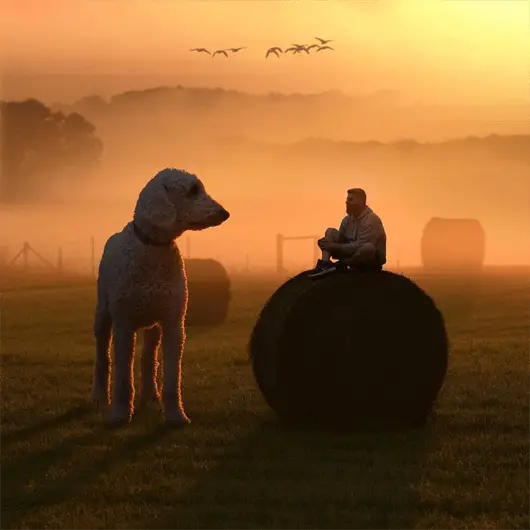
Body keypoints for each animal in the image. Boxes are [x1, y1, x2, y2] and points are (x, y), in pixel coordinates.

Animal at [89, 169, 229, 424]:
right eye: (193, 190)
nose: (225, 213)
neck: (154, 248)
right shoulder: (124, 325)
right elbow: (123, 377)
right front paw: (120, 414)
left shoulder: (174, 323)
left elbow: (172, 377)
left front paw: (176, 415)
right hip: (103, 314)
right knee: (103, 357)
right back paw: (99, 395)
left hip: (154, 325)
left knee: (148, 358)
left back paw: (150, 394)